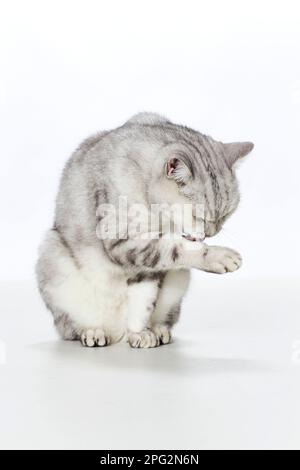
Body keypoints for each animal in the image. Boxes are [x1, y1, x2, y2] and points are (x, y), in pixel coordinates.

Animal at [36, 112, 254, 348]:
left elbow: (144, 300)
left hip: (179, 278)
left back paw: (157, 330)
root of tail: (116, 333)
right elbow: (177, 248)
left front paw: (139, 333)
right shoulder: (123, 239)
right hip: (52, 255)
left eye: (226, 214)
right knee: (70, 327)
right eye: (199, 216)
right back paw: (93, 332)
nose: (211, 233)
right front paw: (218, 255)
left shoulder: (147, 266)